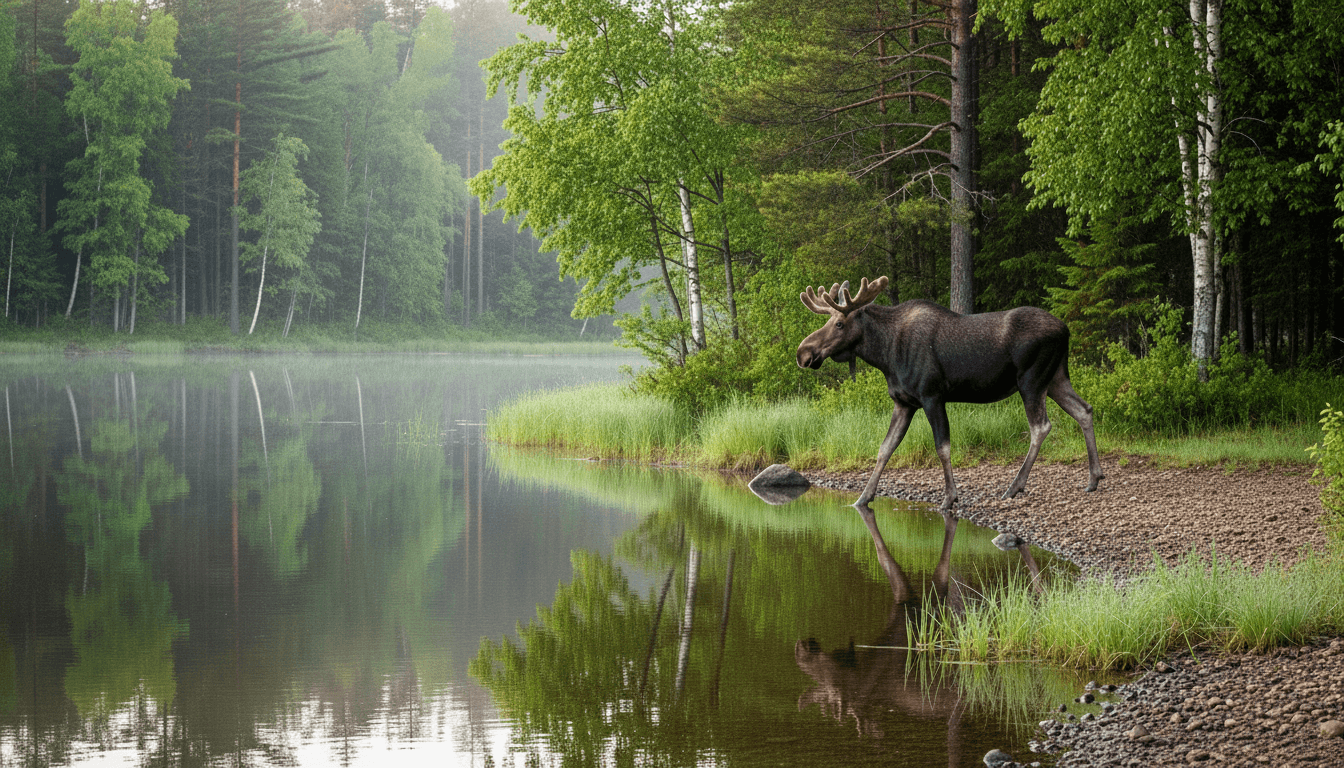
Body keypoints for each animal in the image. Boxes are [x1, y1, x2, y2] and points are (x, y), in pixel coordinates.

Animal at [796, 276, 1103, 509]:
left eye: (839, 324)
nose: (803, 353)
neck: (885, 355)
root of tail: (1066, 330)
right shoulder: (904, 402)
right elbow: (885, 448)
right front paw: (862, 498)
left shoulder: (932, 396)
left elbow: (942, 447)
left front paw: (949, 498)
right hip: (1056, 378)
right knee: (1084, 409)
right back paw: (1094, 477)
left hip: (1031, 380)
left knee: (1041, 426)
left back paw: (1014, 486)